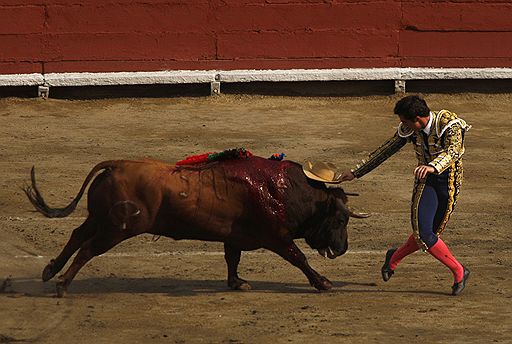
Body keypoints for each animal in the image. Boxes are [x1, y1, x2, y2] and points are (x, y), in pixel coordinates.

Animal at [25, 156, 368, 296]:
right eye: (340, 219)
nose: (342, 248)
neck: (286, 191)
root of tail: (117, 165)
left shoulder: (235, 236)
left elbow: (232, 258)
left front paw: (237, 283)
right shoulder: (277, 237)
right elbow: (299, 258)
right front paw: (323, 283)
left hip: (100, 219)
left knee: (76, 235)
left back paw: (50, 271)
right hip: (116, 229)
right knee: (87, 248)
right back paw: (61, 285)